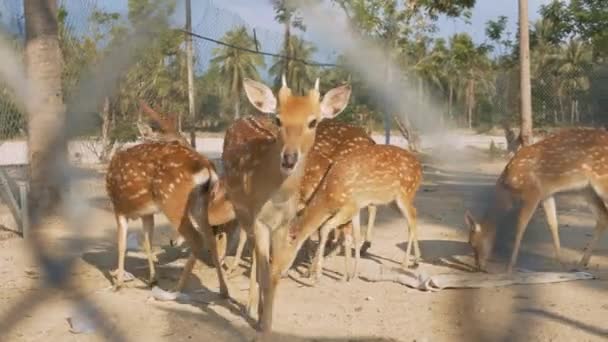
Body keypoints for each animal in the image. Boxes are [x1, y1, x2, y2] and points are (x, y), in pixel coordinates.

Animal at [105, 100, 229, 296]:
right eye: (175, 141)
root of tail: (207, 167)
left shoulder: (118, 207)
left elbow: (122, 244)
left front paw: (118, 284)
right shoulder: (146, 212)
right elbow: (147, 242)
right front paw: (152, 279)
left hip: (173, 202)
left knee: (197, 240)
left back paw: (176, 290)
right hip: (200, 203)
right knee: (210, 237)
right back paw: (223, 290)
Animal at [221, 75, 352, 336]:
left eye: (313, 122)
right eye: (278, 119)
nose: (289, 158)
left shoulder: (283, 223)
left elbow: (273, 273)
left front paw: (266, 322)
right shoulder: (259, 220)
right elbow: (265, 272)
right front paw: (262, 326)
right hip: (243, 212)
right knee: (250, 246)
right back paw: (250, 307)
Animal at [274, 144, 426, 284]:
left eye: (280, 253)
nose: (279, 272)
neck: (329, 194)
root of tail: (419, 168)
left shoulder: (350, 206)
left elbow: (326, 229)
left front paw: (318, 276)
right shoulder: (355, 208)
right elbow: (355, 237)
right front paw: (351, 275)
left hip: (405, 193)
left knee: (411, 219)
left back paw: (406, 264)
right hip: (392, 200)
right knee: (414, 214)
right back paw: (416, 261)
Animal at [466, 127, 608, 274]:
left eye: (472, 243)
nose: (477, 267)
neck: (508, 188)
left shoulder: (533, 192)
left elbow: (521, 225)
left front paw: (509, 267)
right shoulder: (546, 194)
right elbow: (553, 224)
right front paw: (562, 265)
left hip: (602, 180)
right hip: (586, 190)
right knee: (603, 217)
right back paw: (580, 264)